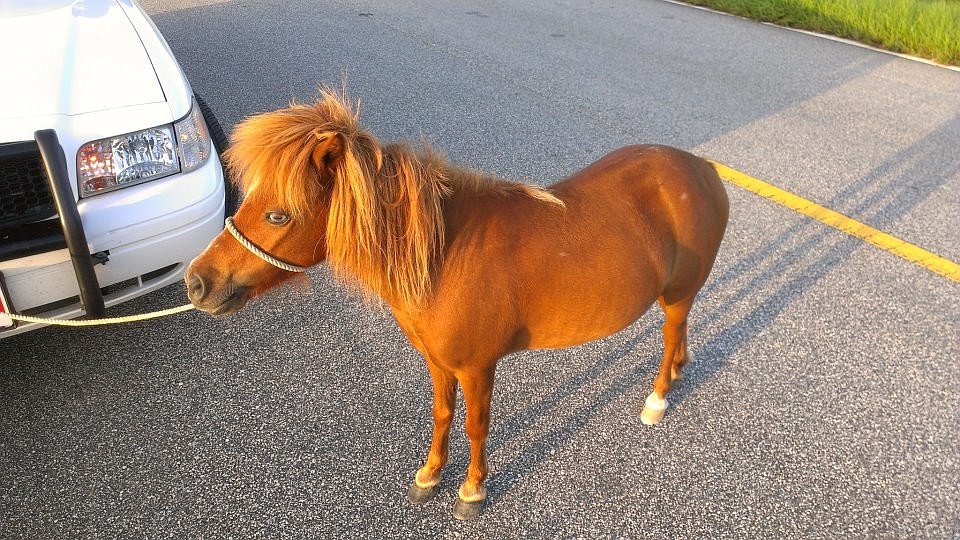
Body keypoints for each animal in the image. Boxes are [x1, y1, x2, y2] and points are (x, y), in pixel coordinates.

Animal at [186, 88, 728, 520]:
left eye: (278, 215)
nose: (196, 283)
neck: (445, 254)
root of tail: (702, 168)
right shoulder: (438, 363)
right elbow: (443, 415)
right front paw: (429, 475)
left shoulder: (477, 366)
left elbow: (475, 425)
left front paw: (471, 490)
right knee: (680, 332)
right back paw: (680, 370)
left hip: (678, 293)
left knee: (669, 334)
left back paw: (657, 400)